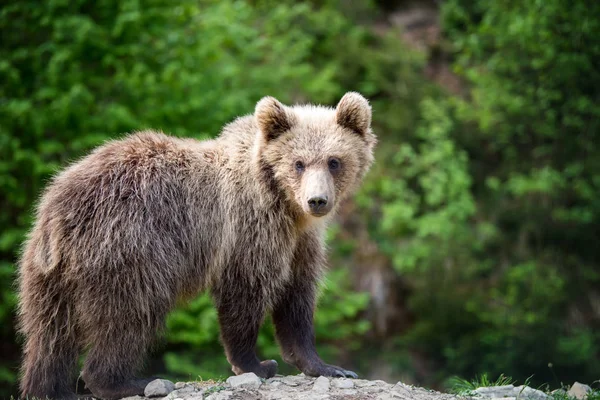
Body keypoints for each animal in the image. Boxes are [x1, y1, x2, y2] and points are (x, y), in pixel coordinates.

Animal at [17, 92, 376, 398]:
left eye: (334, 161)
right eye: (298, 163)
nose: (317, 200)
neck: (285, 204)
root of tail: (58, 210)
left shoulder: (300, 242)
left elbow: (297, 297)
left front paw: (327, 366)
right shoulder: (248, 229)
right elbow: (246, 291)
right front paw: (257, 363)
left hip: (46, 270)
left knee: (50, 332)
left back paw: (50, 388)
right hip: (128, 245)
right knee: (130, 313)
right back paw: (128, 382)